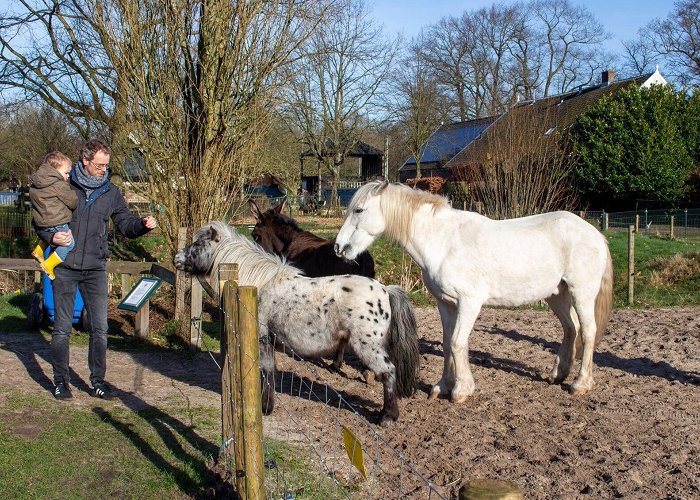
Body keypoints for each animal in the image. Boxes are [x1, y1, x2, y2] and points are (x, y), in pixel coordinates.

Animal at [174, 221, 422, 424]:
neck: (259, 285)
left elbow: (266, 372)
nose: (176, 259)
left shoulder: (263, 339)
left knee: (389, 372)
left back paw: (386, 417)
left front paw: (265, 408)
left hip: (369, 348)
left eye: (198, 244)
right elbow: (270, 372)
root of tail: (385, 290)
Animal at [334, 180, 612, 402]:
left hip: (581, 293)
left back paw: (580, 384)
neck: (444, 241)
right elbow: (448, 343)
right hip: (557, 295)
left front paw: (461, 391)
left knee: (588, 332)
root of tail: (595, 234)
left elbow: (458, 342)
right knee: (571, 328)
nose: (339, 248)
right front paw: (442, 387)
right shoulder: (445, 303)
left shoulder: (469, 302)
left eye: (359, 210)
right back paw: (557, 374)